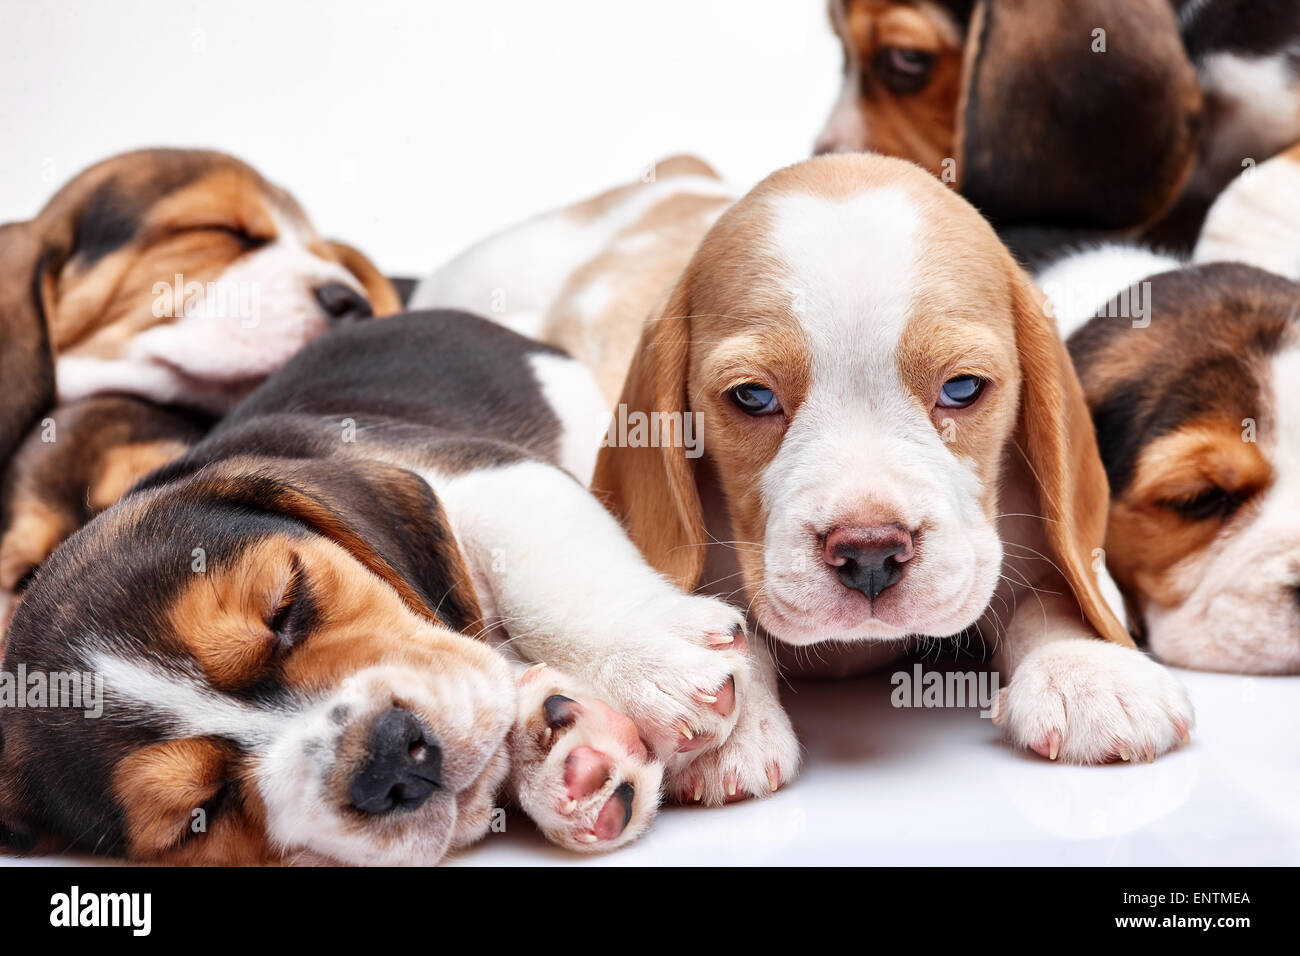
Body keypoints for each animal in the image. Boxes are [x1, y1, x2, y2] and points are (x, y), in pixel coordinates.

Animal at [0, 310, 754, 863]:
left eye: (288, 606)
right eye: (198, 814)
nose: (389, 759)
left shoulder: (487, 473)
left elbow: (546, 577)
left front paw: (658, 666)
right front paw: (561, 749)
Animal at [416, 151, 1196, 801]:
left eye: (963, 388)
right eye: (753, 398)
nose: (872, 554)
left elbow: (1056, 589)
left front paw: (1088, 670)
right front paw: (724, 720)